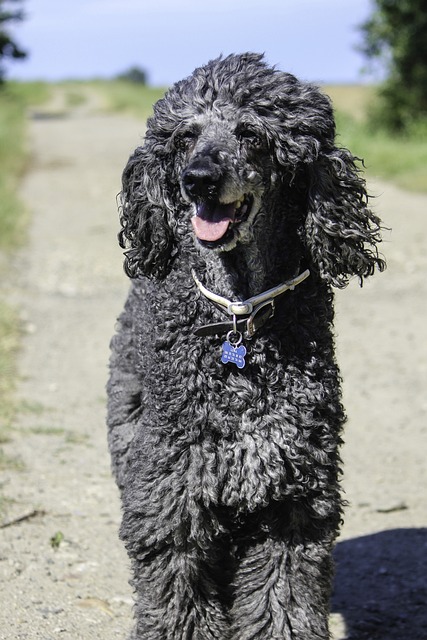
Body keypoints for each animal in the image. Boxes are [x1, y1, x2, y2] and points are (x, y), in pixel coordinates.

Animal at [106, 52, 384, 636]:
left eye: (251, 134)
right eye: (185, 137)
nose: (198, 180)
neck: (239, 319)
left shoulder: (291, 498)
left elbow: (282, 599)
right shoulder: (174, 497)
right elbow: (179, 599)